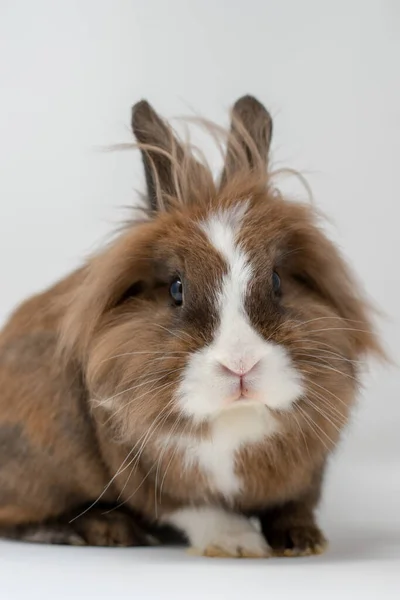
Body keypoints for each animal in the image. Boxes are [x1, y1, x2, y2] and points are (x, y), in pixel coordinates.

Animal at [0, 94, 382, 556]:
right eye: (176, 289)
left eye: (276, 281)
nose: (240, 365)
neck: (235, 420)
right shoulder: (149, 472)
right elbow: (194, 508)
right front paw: (239, 544)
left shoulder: (308, 472)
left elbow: (296, 504)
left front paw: (303, 541)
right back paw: (105, 529)